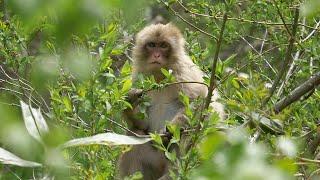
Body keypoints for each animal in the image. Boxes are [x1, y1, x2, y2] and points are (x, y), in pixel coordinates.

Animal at [117, 23, 225, 179]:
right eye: (151, 45)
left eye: (163, 45)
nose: (156, 55)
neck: (160, 77)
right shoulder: (138, 78)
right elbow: (142, 124)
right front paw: (131, 103)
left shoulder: (185, 73)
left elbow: (208, 103)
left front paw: (174, 126)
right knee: (136, 133)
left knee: (187, 135)